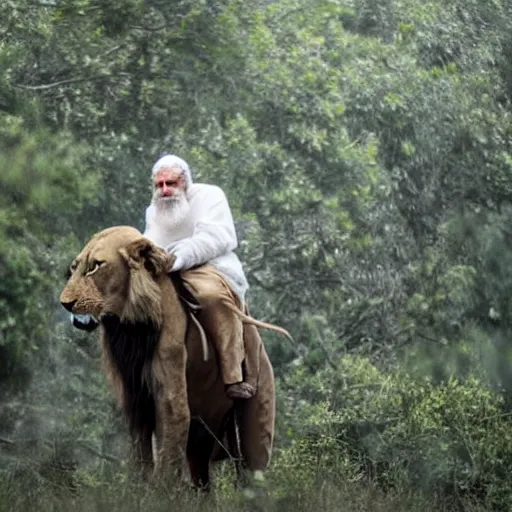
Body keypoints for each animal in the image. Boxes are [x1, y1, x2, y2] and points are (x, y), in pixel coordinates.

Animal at [60, 227, 280, 488]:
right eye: (74, 268)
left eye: (96, 266)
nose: (65, 304)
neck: (130, 330)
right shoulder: (136, 399)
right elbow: (141, 455)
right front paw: (138, 489)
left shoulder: (171, 394)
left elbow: (168, 458)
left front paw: (159, 493)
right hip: (202, 443)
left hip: (254, 425)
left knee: (254, 475)